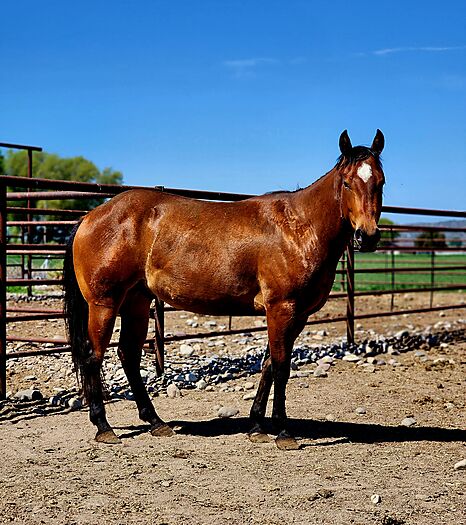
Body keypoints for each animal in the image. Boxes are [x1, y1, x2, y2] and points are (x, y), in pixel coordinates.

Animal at [63, 129, 385, 449]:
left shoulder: (297, 315)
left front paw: (256, 426)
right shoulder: (281, 309)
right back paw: (104, 427)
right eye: (347, 182)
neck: (298, 228)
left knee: (128, 355)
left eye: (380, 182)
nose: (367, 236)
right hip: (104, 304)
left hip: (137, 303)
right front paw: (283, 432)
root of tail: (89, 217)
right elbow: (281, 367)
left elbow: (269, 365)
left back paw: (156, 422)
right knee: (93, 357)